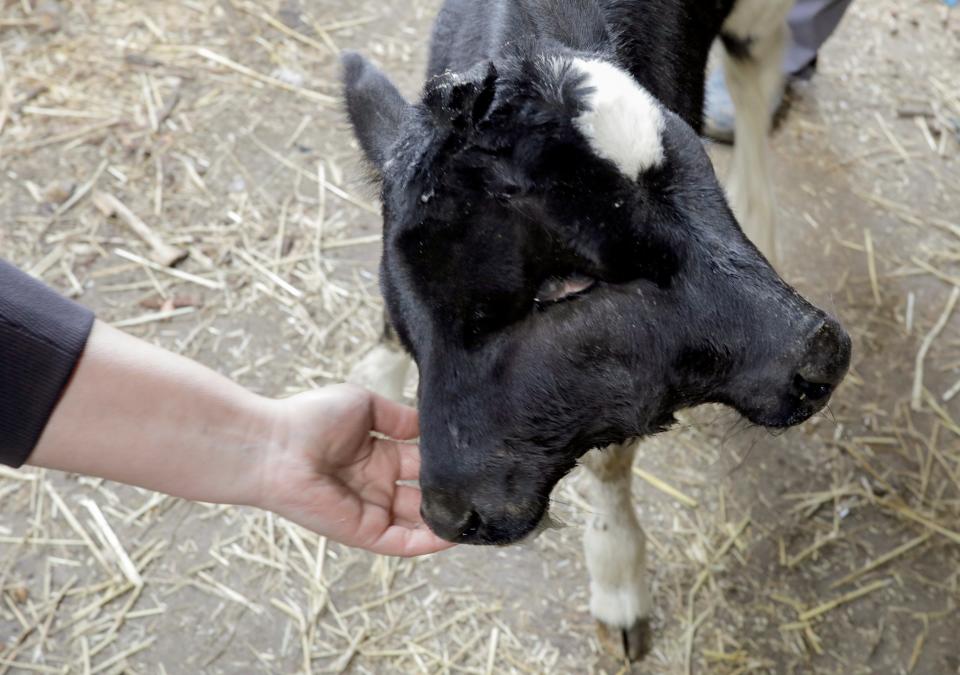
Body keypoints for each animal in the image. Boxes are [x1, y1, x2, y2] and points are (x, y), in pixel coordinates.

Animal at [344, 0, 848, 660]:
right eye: (563, 283)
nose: (823, 352)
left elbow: (610, 461)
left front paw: (617, 580)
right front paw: (372, 384)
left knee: (755, 74)